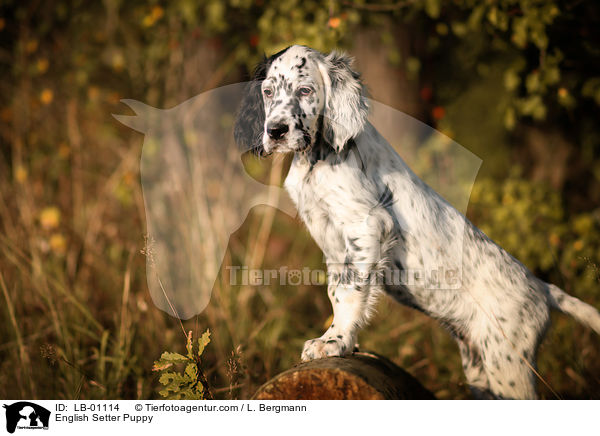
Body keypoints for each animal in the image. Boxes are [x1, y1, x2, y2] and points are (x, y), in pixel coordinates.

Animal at [233, 44, 600, 398]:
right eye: (267, 92)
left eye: (306, 90)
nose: (275, 131)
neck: (316, 158)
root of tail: (542, 288)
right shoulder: (334, 242)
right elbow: (336, 289)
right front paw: (344, 341)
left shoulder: (367, 224)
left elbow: (348, 290)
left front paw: (332, 342)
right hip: (480, 367)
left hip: (507, 361)